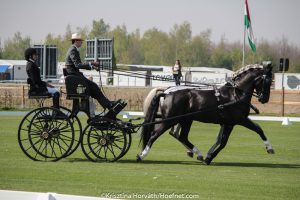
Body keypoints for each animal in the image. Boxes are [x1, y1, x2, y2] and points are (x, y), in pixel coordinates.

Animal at [138, 62, 274, 164]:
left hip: (185, 120)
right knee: (154, 135)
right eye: (267, 80)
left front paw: (209, 156)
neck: (236, 93)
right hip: (171, 120)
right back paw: (142, 155)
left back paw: (198, 154)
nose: (264, 99)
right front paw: (270, 148)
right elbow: (258, 129)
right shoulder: (238, 120)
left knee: (182, 137)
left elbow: (221, 141)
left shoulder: (228, 123)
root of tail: (167, 92)